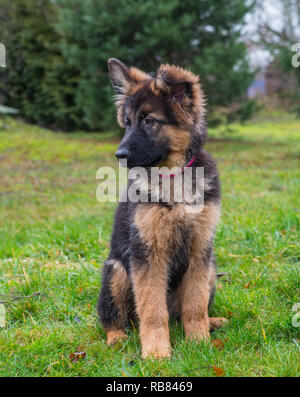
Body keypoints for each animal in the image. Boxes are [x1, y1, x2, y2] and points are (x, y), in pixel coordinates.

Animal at [97, 58, 226, 358]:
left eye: (149, 121)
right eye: (127, 123)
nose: (119, 155)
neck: (172, 175)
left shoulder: (200, 249)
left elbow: (195, 303)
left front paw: (199, 342)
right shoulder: (149, 252)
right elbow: (153, 310)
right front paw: (157, 353)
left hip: (212, 269)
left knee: (182, 312)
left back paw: (212, 321)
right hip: (117, 271)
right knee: (113, 320)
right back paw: (117, 339)